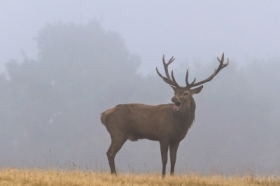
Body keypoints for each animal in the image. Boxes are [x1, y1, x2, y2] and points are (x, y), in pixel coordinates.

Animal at [101, 52, 229, 176]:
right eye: (175, 92)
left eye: (186, 93)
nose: (174, 99)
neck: (179, 125)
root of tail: (103, 115)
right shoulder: (163, 136)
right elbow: (164, 159)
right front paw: (163, 176)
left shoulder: (176, 140)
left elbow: (173, 160)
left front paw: (172, 176)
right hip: (118, 133)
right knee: (110, 153)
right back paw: (114, 174)